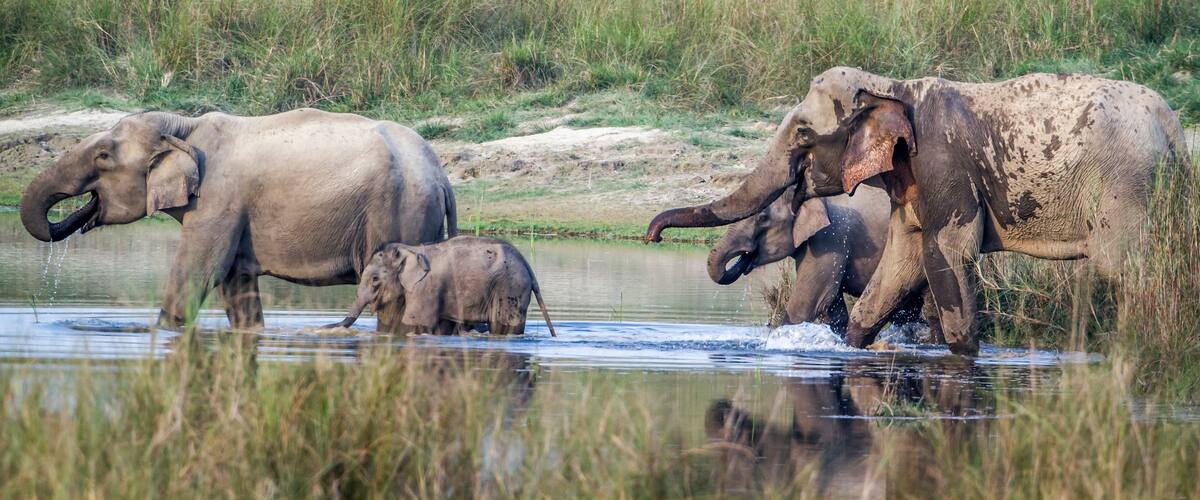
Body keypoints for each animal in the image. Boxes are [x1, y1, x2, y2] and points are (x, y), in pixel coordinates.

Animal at [19, 109, 457, 330]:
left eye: (103, 157)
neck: (185, 127)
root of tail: (441, 175)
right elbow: (235, 284)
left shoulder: (218, 200)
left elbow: (199, 273)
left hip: (400, 212)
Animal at [327, 236, 557, 336]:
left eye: (375, 279)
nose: (328, 327)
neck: (409, 249)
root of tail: (527, 264)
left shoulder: (424, 288)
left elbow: (413, 324)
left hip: (509, 289)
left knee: (503, 327)